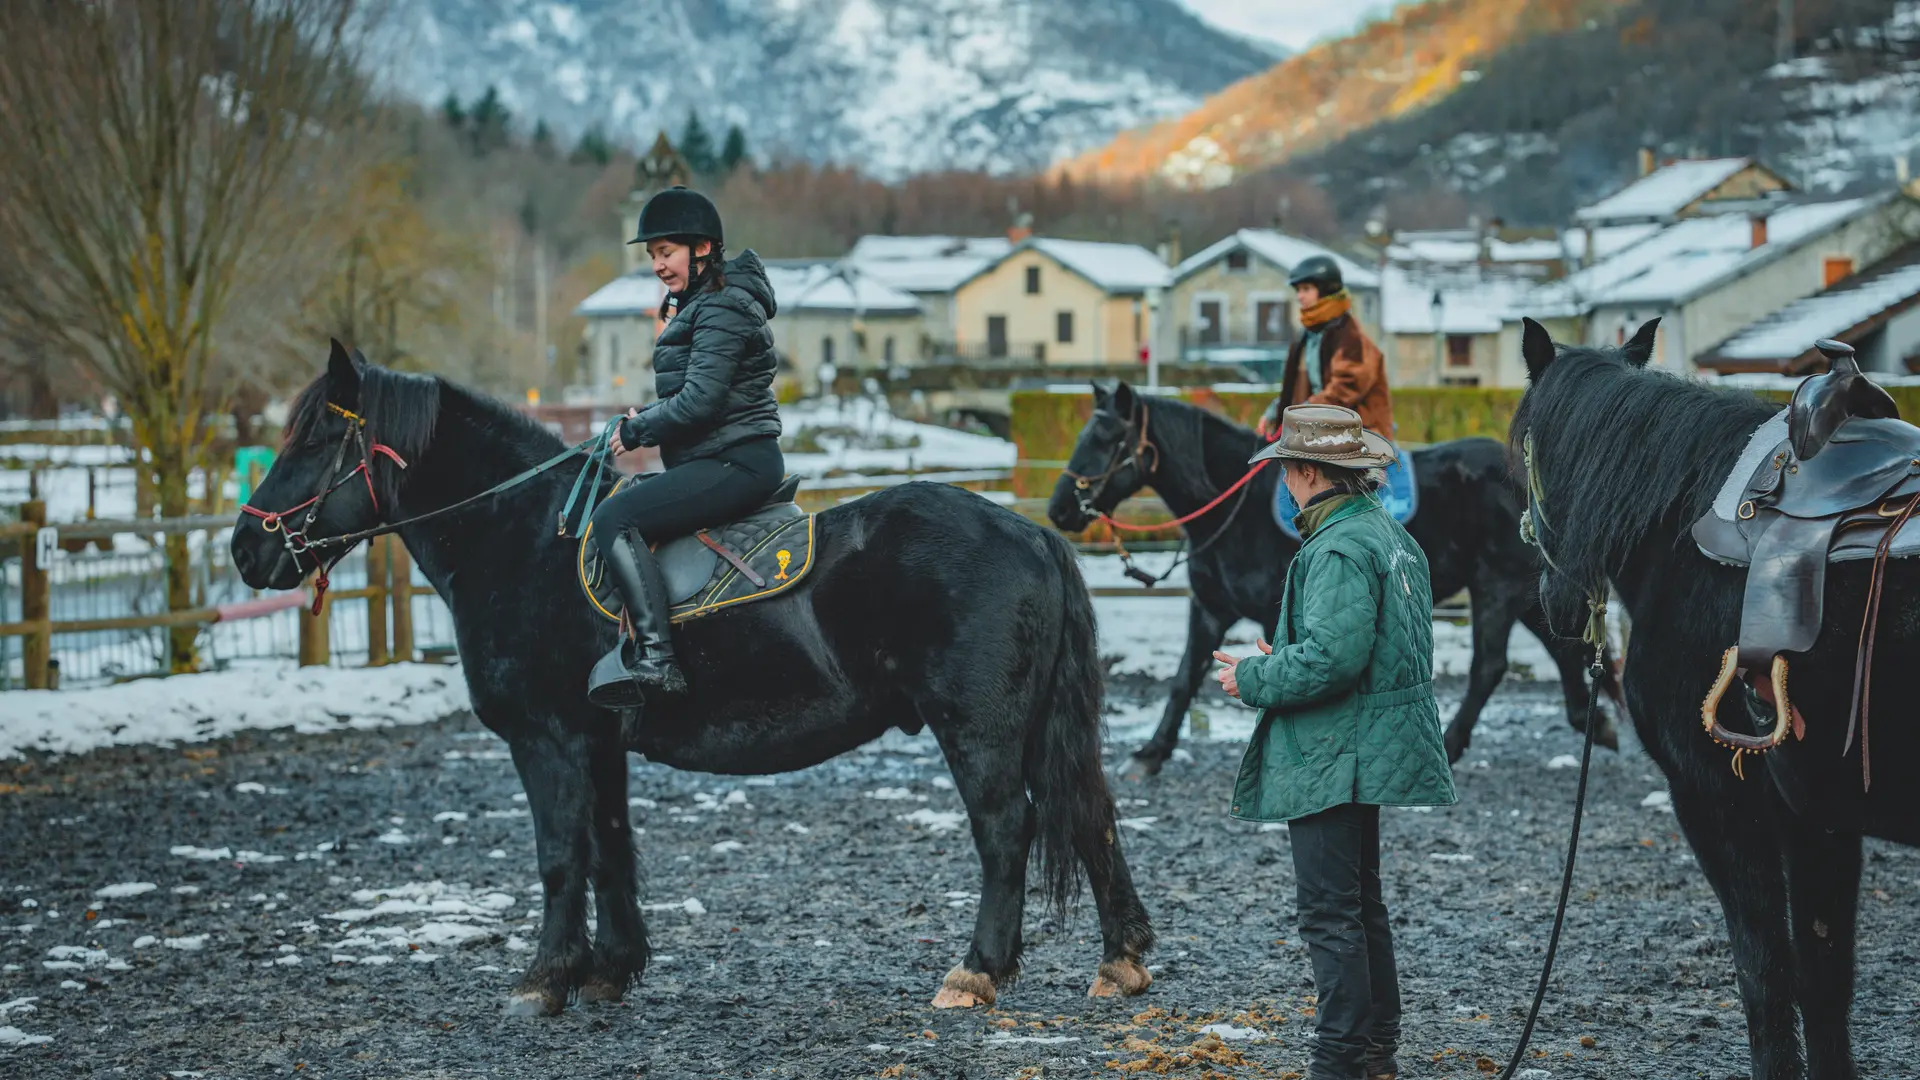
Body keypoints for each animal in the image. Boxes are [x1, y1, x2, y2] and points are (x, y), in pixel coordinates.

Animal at [1052, 382, 1620, 768]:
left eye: (1106, 437)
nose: (1061, 508)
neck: (1234, 510)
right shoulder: (1209, 608)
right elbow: (1182, 678)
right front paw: (1152, 751)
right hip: (1523, 591)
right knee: (1559, 649)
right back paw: (1591, 723)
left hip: (1496, 587)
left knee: (1490, 665)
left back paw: (1457, 740)